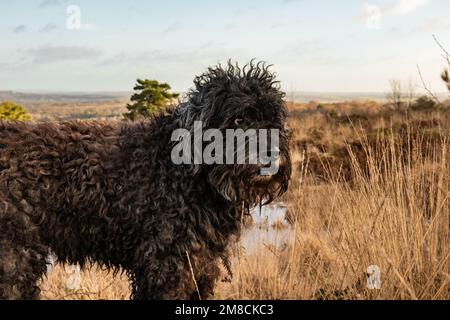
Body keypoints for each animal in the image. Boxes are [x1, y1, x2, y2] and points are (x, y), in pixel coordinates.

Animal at [0, 61, 292, 298]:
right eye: (239, 118)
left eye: (273, 120)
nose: (273, 160)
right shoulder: (168, 267)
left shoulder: (200, 266)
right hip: (15, 260)